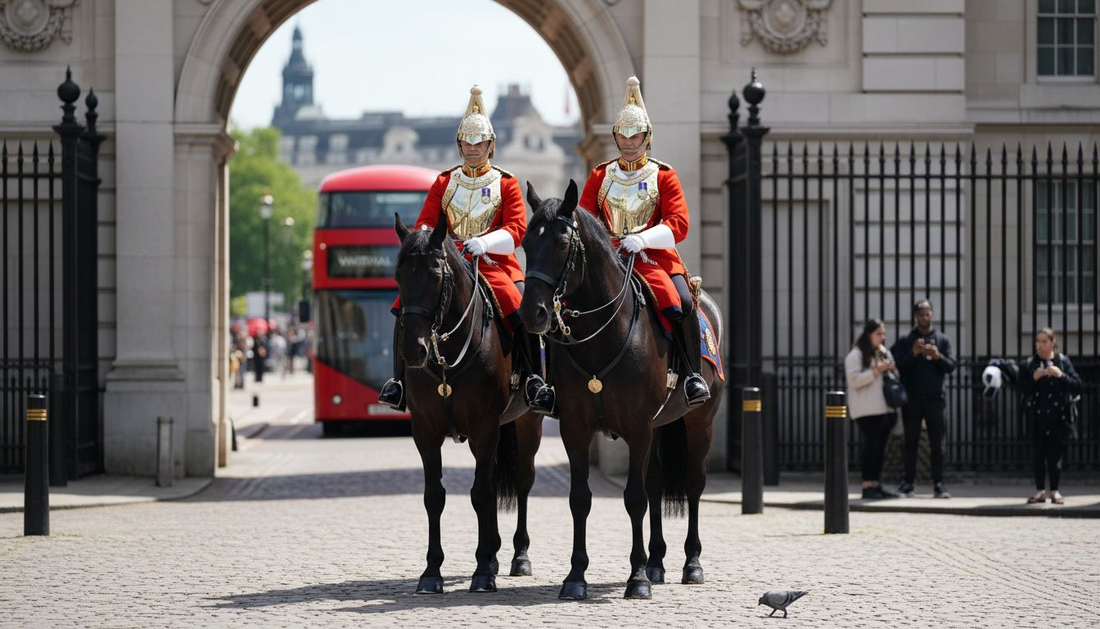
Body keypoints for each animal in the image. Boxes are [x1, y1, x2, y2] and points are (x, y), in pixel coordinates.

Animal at [394, 212, 543, 594]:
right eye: (399, 276)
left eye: (435, 275)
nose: (413, 351)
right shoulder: (425, 431)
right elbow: (435, 496)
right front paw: (432, 572)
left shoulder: (485, 425)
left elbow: (481, 495)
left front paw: (482, 572)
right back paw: (493, 552)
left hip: (526, 423)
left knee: (521, 481)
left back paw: (518, 556)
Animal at [519, 181, 723, 600]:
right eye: (527, 243)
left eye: (562, 242)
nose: (533, 314)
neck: (601, 336)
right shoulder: (576, 428)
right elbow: (581, 498)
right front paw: (576, 577)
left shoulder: (638, 427)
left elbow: (634, 498)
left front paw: (637, 579)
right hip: (662, 424)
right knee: (658, 485)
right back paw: (657, 562)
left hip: (699, 421)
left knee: (693, 484)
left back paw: (691, 564)